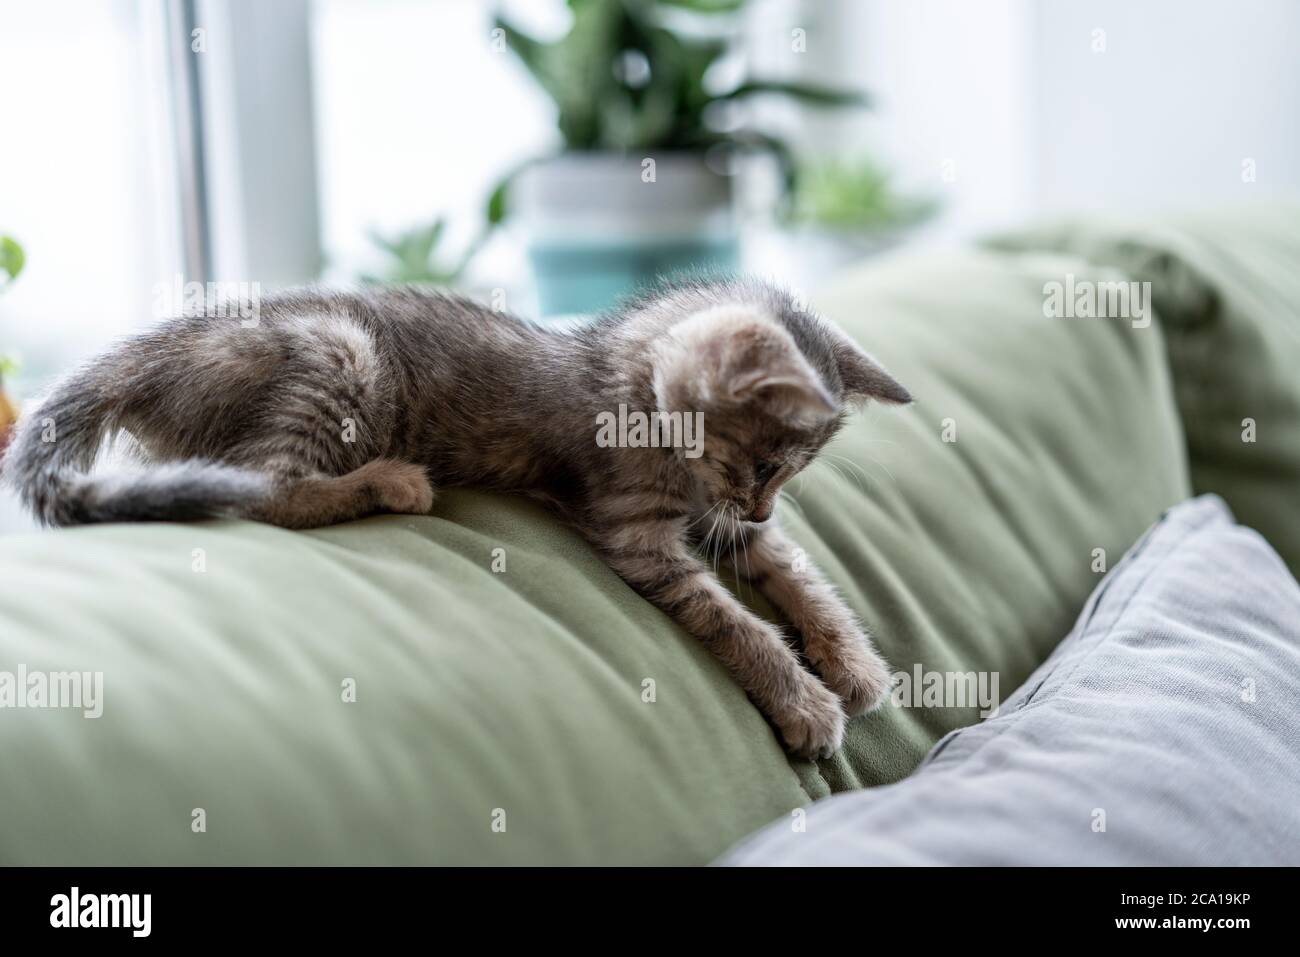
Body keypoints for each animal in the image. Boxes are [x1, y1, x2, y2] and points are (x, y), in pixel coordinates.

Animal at [2, 280, 915, 759]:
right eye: (762, 465)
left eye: (789, 475)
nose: (761, 502)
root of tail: (146, 352)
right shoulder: (641, 539)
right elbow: (735, 621)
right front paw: (803, 698)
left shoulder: (732, 529)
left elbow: (801, 575)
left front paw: (853, 661)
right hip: (342, 352)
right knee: (264, 484)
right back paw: (390, 481)